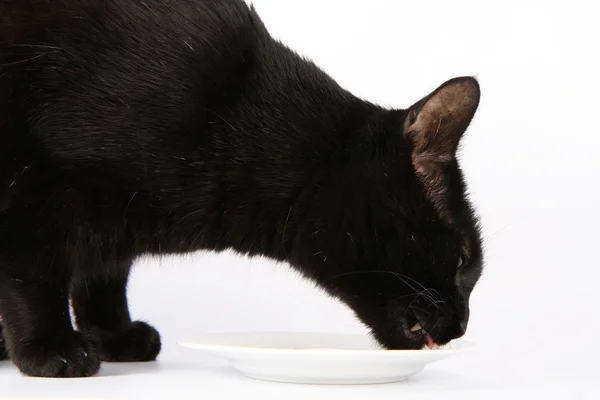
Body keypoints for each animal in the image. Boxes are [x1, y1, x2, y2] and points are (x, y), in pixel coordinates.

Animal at [0, 0, 482, 378]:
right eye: (463, 261)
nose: (462, 325)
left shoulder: (112, 221)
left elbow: (104, 275)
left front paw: (113, 334)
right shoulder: (35, 187)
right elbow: (34, 274)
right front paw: (50, 348)